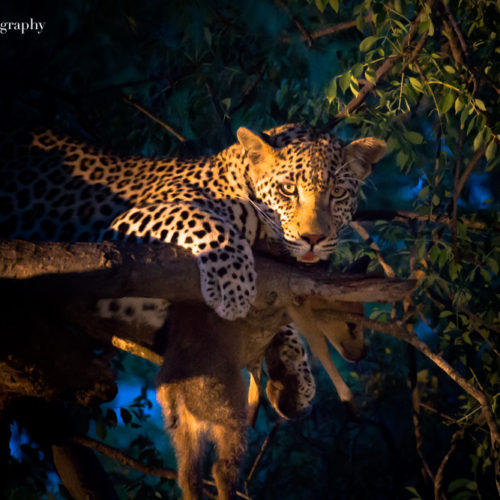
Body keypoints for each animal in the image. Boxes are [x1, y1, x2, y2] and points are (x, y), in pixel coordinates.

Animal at [0, 123, 386, 498]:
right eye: (288, 190)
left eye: (338, 193)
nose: (313, 239)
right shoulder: (121, 247)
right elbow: (209, 221)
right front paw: (236, 286)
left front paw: (293, 371)